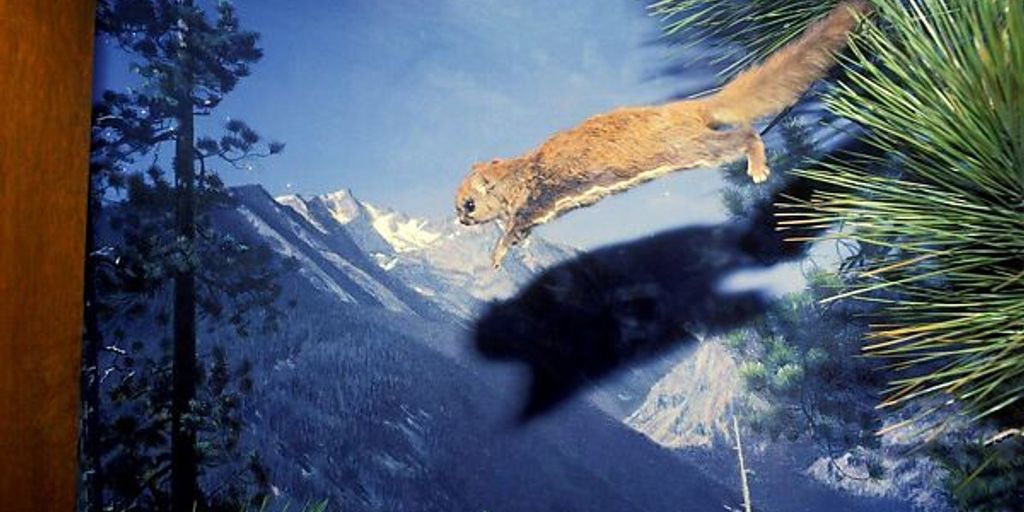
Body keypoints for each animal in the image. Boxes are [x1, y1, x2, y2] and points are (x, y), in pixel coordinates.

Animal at [455, 0, 872, 268]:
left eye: (467, 204)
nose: (459, 220)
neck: (522, 172)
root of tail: (689, 108)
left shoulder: (542, 194)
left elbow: (517, 225)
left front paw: (496, 255)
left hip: (693, 147)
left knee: (747, 134)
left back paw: (757, 168)